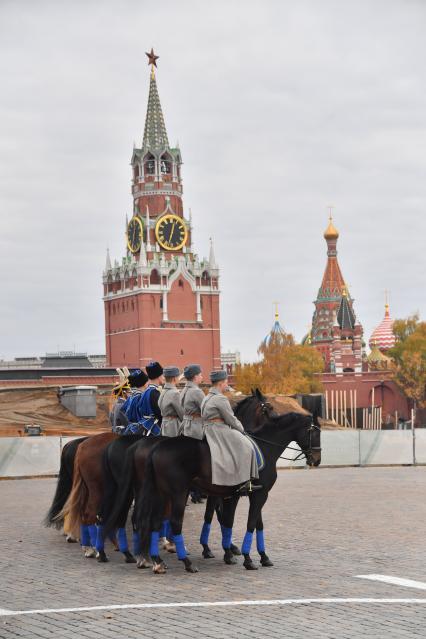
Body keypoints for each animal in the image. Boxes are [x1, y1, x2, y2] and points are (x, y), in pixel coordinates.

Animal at [136, 402, 320, 572]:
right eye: (314, 432)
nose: (316, 459)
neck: (265, 448)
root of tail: (156, 448)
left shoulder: (248, 494)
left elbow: (248, 523)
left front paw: (260, 556)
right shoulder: (257, 495)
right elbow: (248, 523)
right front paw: (247, 559)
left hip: (162, 494)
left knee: (155, 521)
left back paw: (157, 561)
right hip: (179, 494)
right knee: (174, 522)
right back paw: (186, 563)